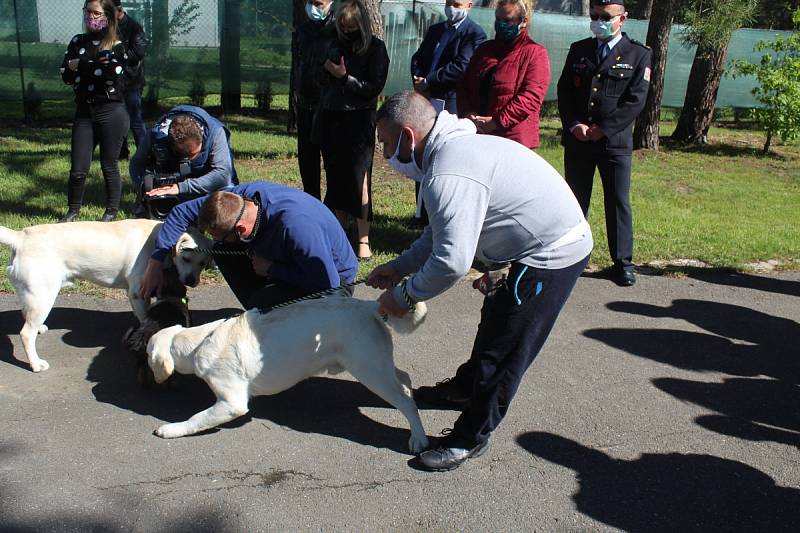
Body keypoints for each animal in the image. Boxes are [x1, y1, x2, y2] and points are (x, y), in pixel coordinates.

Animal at [0, 218, 211, 372]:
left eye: (203, 263)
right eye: (186, 258)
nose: (191, 280)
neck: (160, 245)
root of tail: (21, 236)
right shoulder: (137, 293)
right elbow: (146, 319)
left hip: (34, 294)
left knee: (26, 314)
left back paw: (40, 329)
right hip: (44, 295)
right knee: (25, 333)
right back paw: (36, 364)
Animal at [145, 298, 432, 450]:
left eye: (147, 352)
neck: (198, 341)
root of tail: (367, 306)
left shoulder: (231, 403)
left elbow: (197, 418)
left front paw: (172, 429)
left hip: (370, 371)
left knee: (405, 401)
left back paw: (418, 438)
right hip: (378, 364)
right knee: (405, 380)